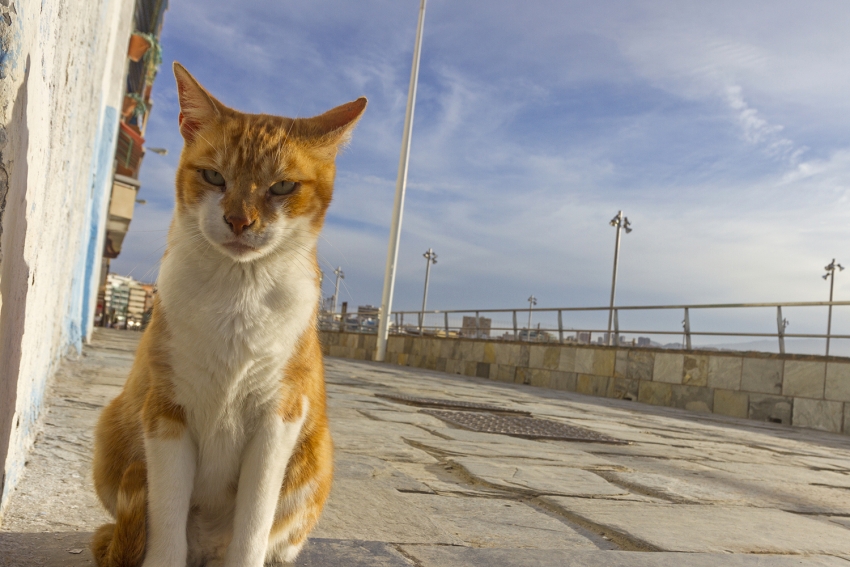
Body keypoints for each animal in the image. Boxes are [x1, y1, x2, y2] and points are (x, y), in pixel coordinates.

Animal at [92, 63, 364, 567]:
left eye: (282, 186)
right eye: (214, 176)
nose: (239, 220)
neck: (238, 296)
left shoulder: (279, 417)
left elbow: (253, 523)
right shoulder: (165, 412)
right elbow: (166, 520)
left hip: (316, 458)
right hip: (113, 429)